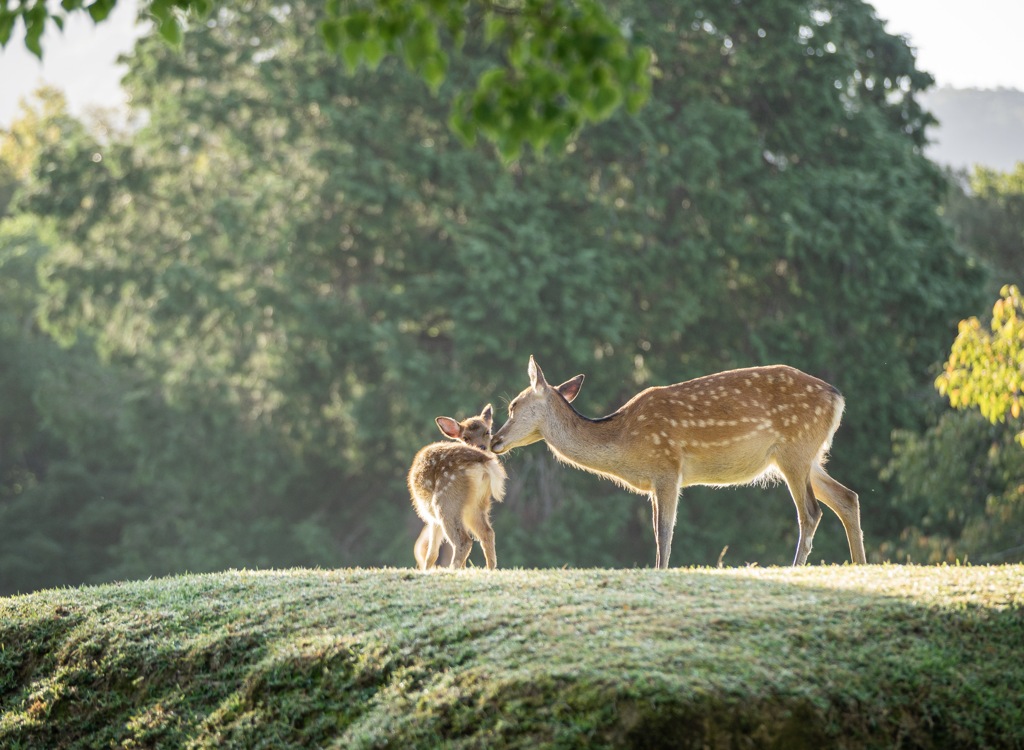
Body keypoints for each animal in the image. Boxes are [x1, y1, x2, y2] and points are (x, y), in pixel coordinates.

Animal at [405, 407, 505, 569]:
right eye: (465, 437)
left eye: (487, 432)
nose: (482, 447)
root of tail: (483, 461)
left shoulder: (431, 518)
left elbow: (432, 553)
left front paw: (426, 570)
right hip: (478, 504)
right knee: (487, 533)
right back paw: (489, 569)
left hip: (445, 501)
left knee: (464, 541)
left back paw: (452, 569)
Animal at [487, 356, 864, 569]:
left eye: (514, 405)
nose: (494, 441)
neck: (624, 443)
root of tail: (838, 397)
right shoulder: (656, 480)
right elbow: (661, 530)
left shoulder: (667, 467)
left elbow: (664, 531)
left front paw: (660, 571)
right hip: (808, 455)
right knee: (847, 497)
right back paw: (859, 565)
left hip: (794, 448)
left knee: (811, 512)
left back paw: (796, 567)